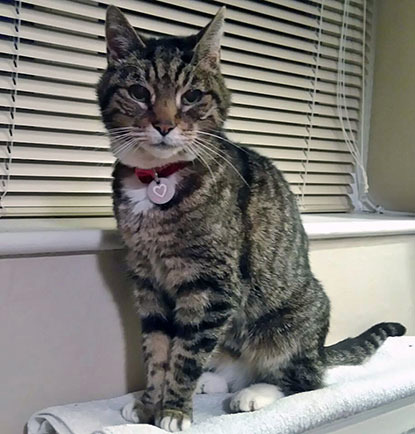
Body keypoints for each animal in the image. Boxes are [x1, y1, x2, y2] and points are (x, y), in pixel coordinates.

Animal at [97, 5, 406, 432]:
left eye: (191, 96)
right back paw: (215, 380)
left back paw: (253, 393)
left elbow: (185, 354)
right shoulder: (147, 281)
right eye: (140, 93)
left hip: (293, 321)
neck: (156, 179)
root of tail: (320, 349)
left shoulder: (212, 286)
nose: (164, 125)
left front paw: (173, 411)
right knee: (231, 366)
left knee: (303, 380)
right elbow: (157, 349)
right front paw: (147, 406)